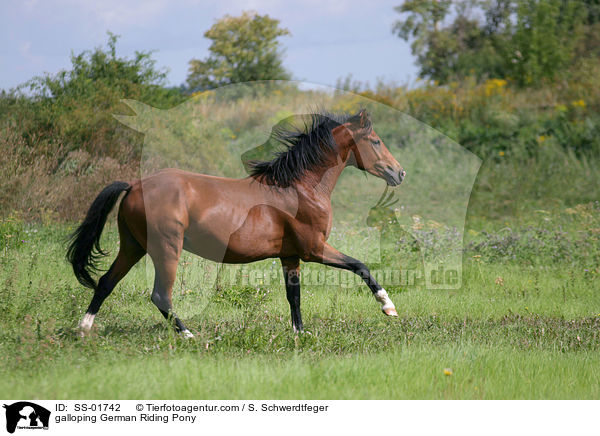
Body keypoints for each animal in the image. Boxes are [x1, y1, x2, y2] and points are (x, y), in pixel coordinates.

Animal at [67, 109, 408, 338]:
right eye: (376, 141)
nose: (399, 172)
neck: (300, 188)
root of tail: (134, 186)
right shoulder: (314, 248)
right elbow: (360, 266)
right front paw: (388, 307)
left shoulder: (291, 255)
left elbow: (294, 295)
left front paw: (299, 333)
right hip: (166, 250)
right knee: (160, 295)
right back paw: (187, 334)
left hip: (133, 246)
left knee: (106, 283)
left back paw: (83, 329)